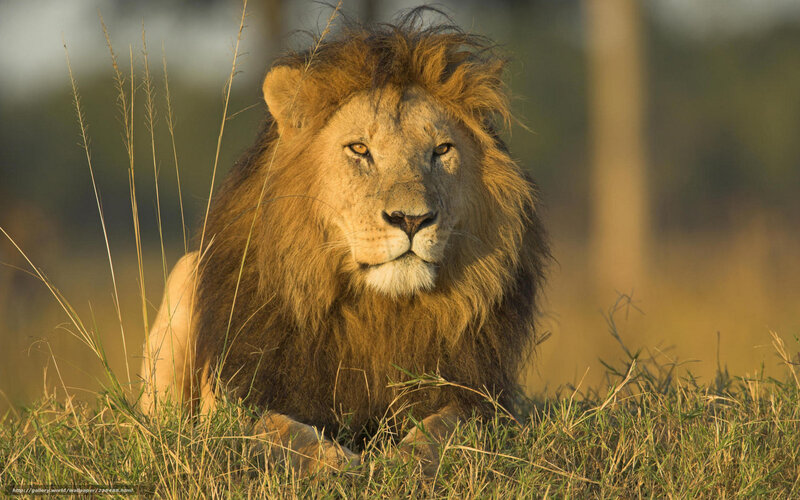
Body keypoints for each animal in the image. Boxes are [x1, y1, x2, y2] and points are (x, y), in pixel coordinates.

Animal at [140, 11, 549, 476]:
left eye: (442, 150)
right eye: (359, 149)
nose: (412, 219)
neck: (379, 311)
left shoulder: (480, 396)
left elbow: (446, 426)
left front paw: (403, 462)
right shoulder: (240, 396)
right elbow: (279, 429)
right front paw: (337, 465)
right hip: (185, 276)